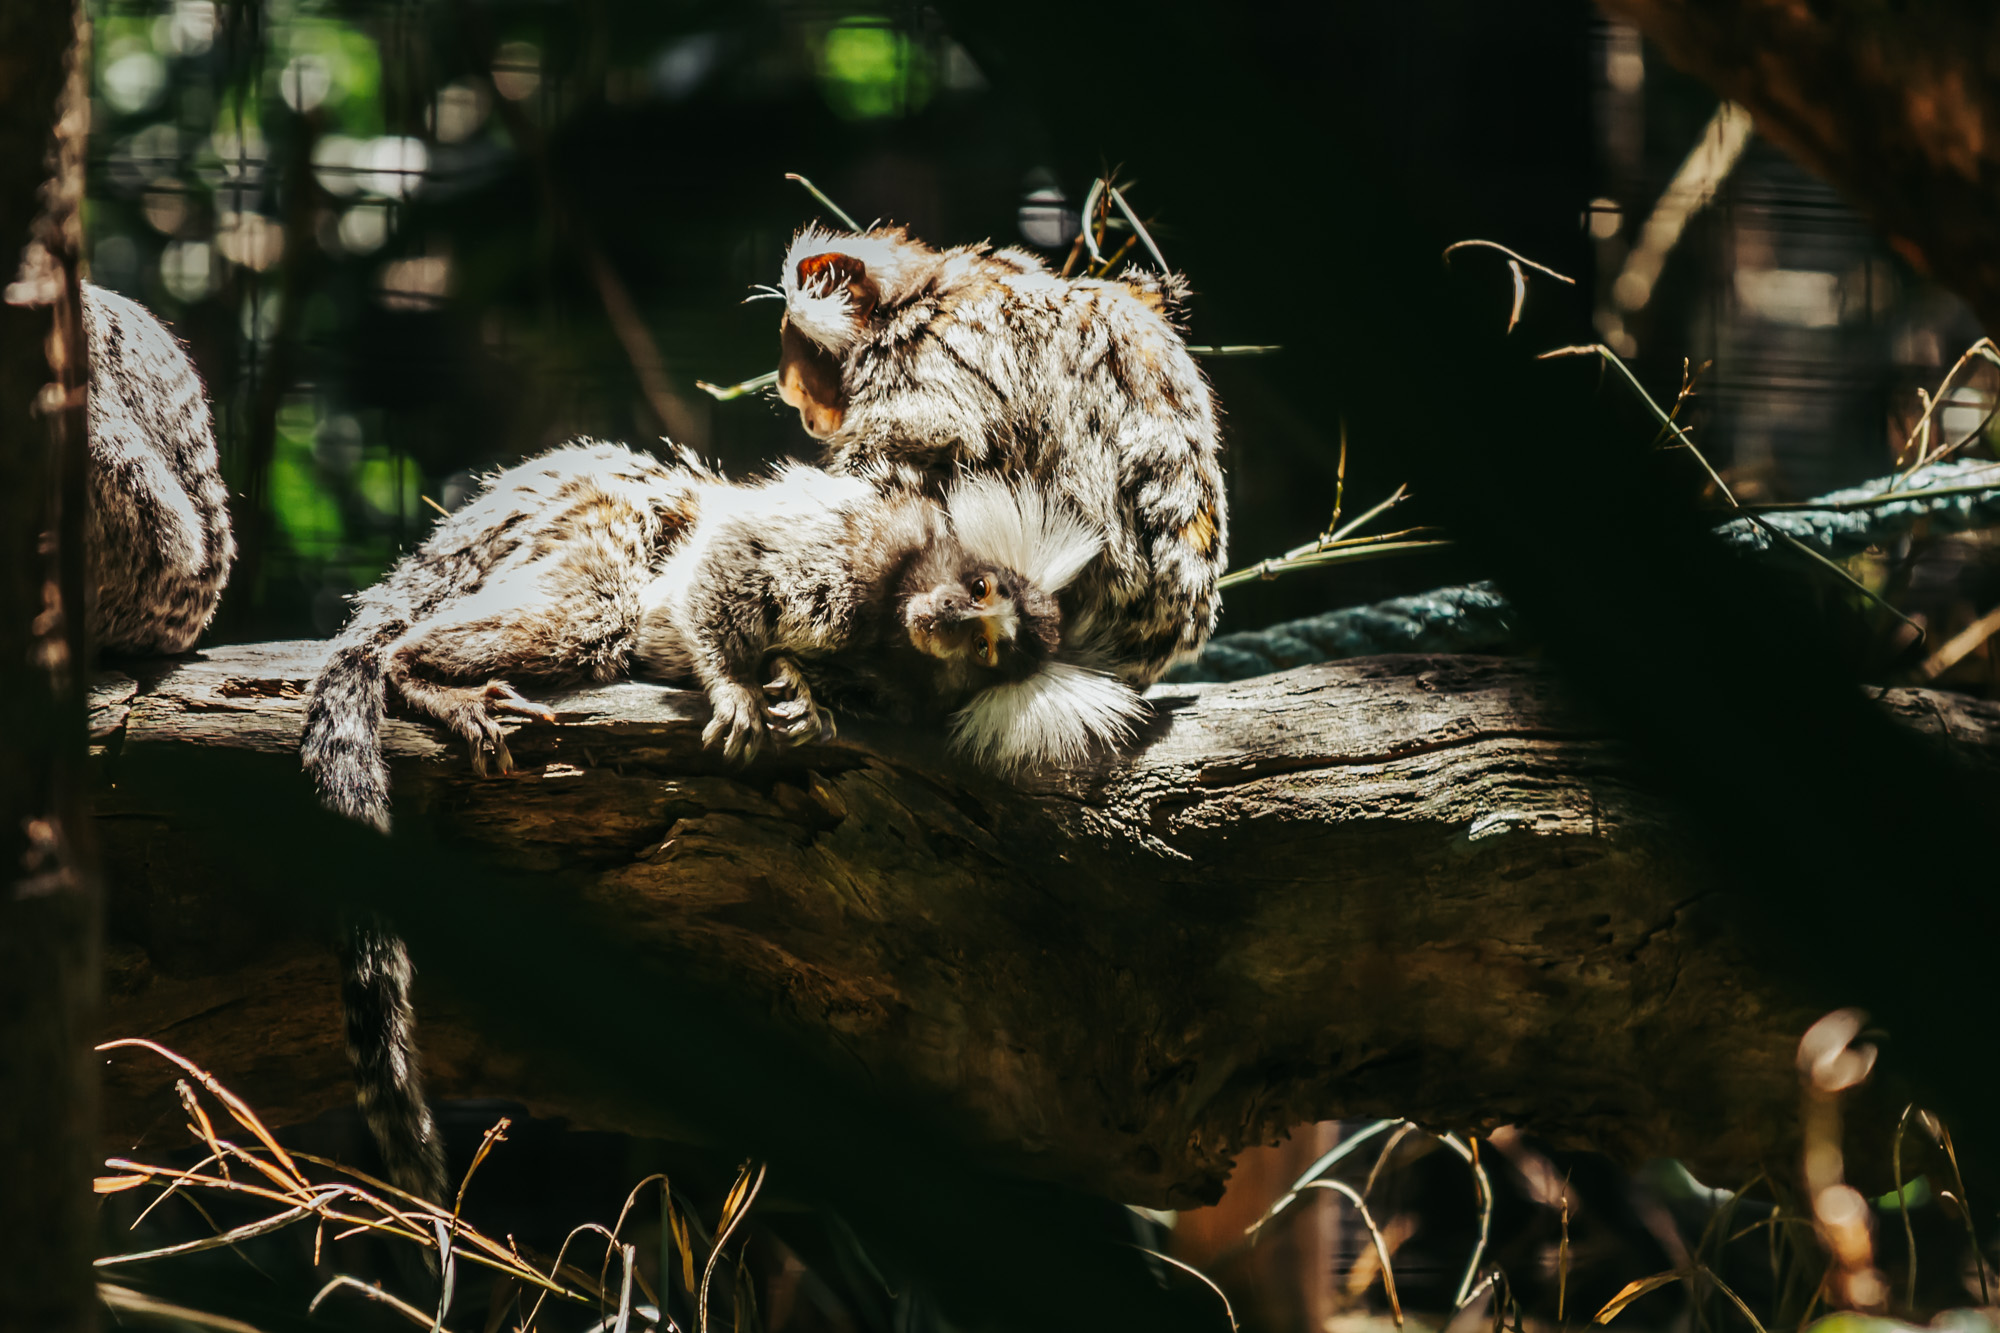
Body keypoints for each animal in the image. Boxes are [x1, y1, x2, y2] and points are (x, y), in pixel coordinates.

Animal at [633, 463, 1143, 772]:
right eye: (979, 590)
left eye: (981, 647)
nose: (950, 616)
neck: (887, 629)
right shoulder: (872, 541)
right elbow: (741, 550)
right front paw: (735, 684)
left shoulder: (898, 695)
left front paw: (797, 691)